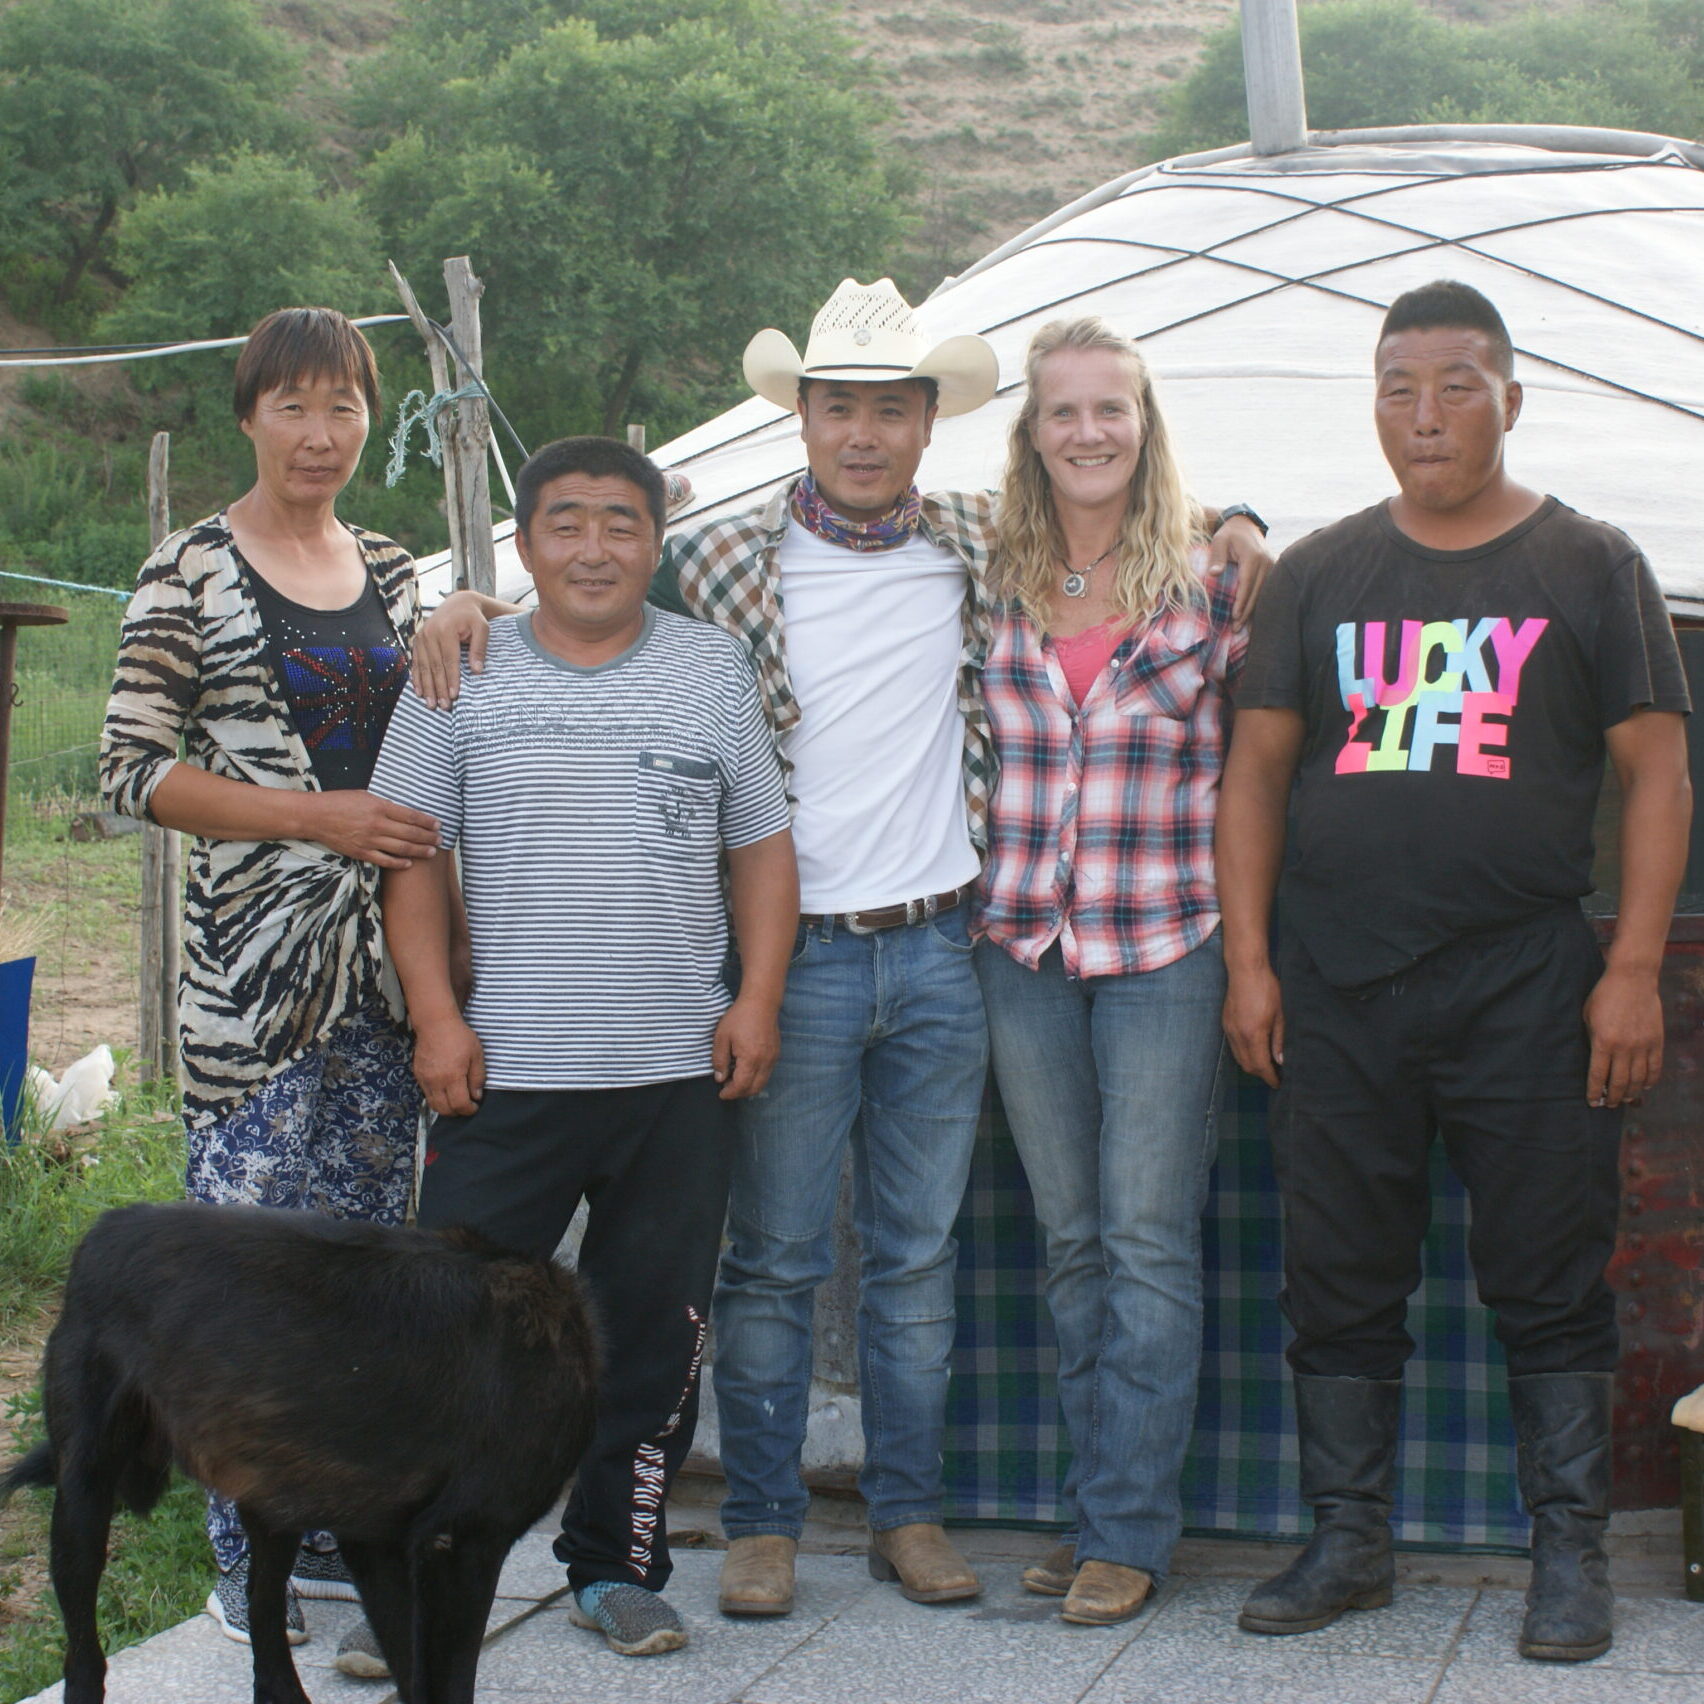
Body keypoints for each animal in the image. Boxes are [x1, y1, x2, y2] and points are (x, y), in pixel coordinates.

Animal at [0, 1199, 599, 1704]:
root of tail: (105, 1230)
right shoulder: (460, 1545)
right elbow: (446, 1683)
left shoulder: (379, 1543)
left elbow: (411, 1671)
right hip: (83, 1504)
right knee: (83, 1653)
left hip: (275, 1503)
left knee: (264, 1614)